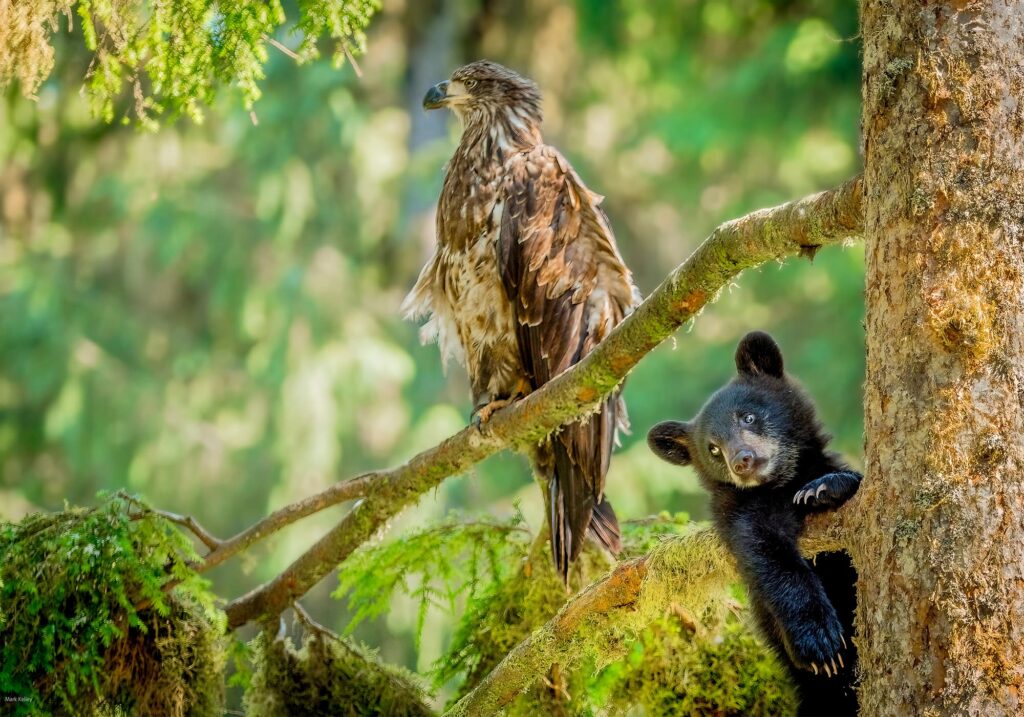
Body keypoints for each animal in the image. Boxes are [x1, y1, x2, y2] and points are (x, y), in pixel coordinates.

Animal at [647, 330, 860, 717]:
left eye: (747, 417)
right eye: (713, 448)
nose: (742, 461)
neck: (783, 482)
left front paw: (824, 488)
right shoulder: (741, 511)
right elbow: (768, 553)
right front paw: (819, 640)